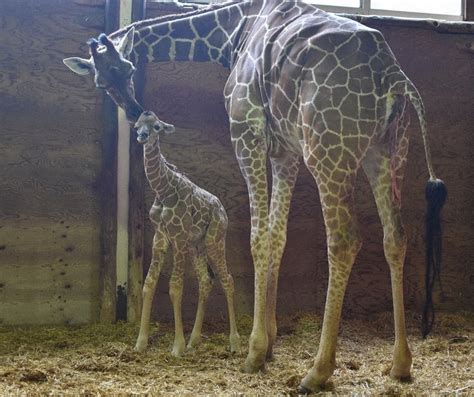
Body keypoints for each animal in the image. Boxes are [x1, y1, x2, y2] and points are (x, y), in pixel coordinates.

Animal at [133, 110, 241, 356]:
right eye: (137, 125)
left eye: (156, 127)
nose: (142, 136)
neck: (163, 190)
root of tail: (222, 209)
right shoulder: (160, 238)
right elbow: (149, 284)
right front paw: (140, 343)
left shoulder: (179, 237)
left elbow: (175, 287)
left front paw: (177, 347)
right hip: (197, 245)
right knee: (206, 280)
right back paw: (194, 340)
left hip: (214, 239)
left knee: (227, 279)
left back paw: (234, 342)